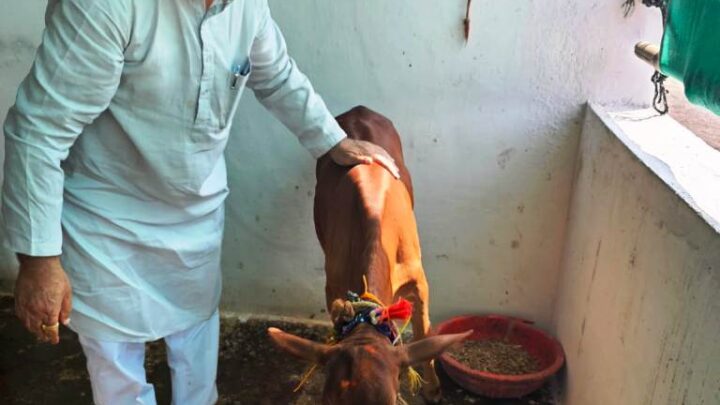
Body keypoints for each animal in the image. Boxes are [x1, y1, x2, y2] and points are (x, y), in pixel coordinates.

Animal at [268, 105, 470, 402]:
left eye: (392, 400)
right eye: (326, 401)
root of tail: (358, 109)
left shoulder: (419, 280)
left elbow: (424, 334)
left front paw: (432, 389)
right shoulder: (333, 288)